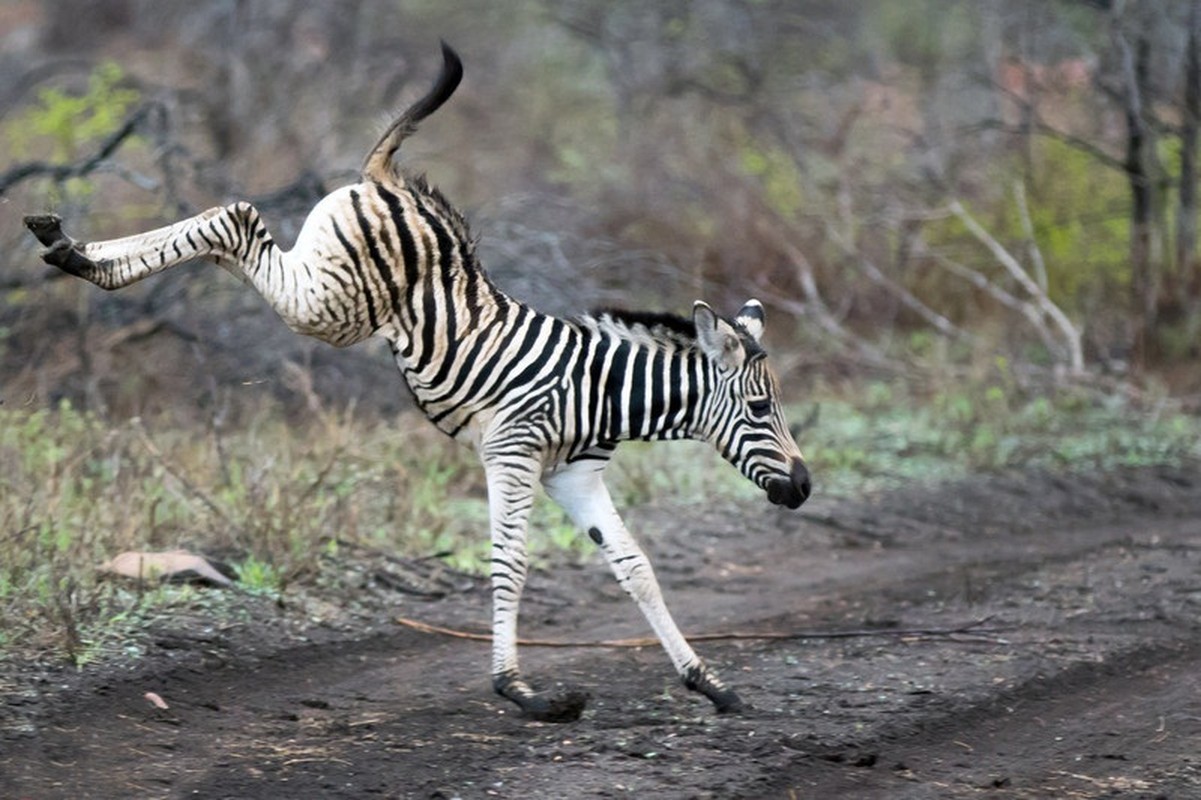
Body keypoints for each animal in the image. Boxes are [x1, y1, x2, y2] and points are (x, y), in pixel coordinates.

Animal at [28, 40, 811, 720]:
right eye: (759, 408)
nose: (803, 489)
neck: (607, 393)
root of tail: (391, 180)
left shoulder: (573, 474)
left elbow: (635, 566)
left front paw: (708, 682)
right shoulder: (514, 453)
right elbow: (511, 564)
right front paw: (522, 692)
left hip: (326, 285)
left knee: (230, 229)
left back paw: (70, 247)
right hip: (331, 303)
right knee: (236, 216)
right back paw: (82, 258)